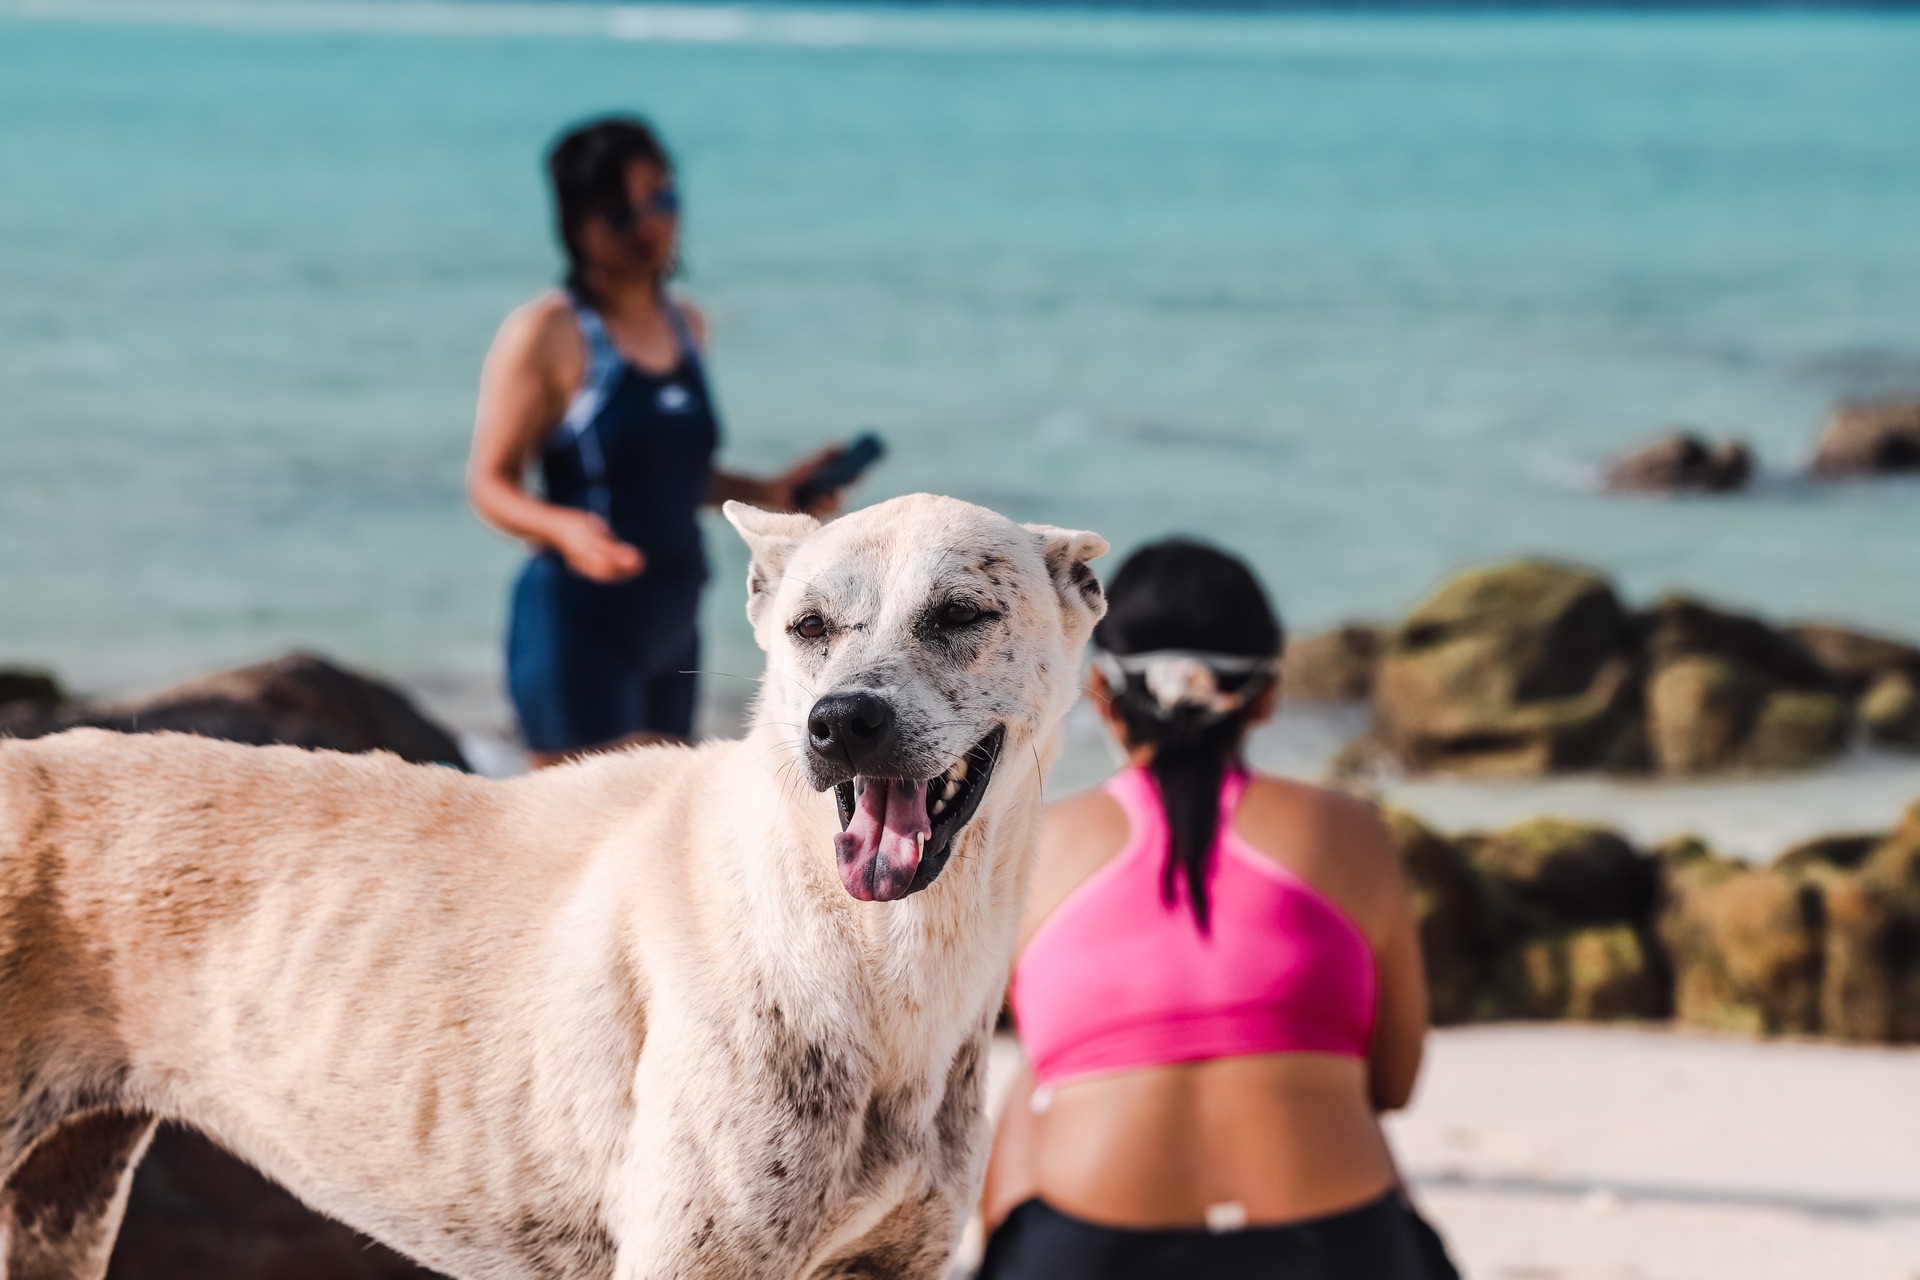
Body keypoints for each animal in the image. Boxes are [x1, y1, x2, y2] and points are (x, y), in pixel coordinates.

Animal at [0, 498, 1113, 1280]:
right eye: (808, 626)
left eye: (961, 613)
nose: (840, 723)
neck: (878, 958)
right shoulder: (694, 1256)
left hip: (58, 1200)